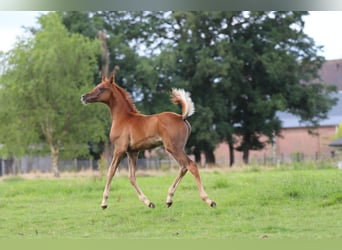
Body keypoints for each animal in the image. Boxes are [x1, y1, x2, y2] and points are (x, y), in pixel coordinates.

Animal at [81, 71, 215, 209]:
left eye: (101, 88)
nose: (84, 97)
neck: (123, 118)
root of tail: (181, 117)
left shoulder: (119, 149)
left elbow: (111, 172)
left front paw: (104, 203)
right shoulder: (132, 152)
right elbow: (131, 176)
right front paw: (148, 202)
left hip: (174, 148)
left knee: (191, 165)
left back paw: (209, 200)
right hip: (177, 148)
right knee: (183, 167)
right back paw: (169, 199)